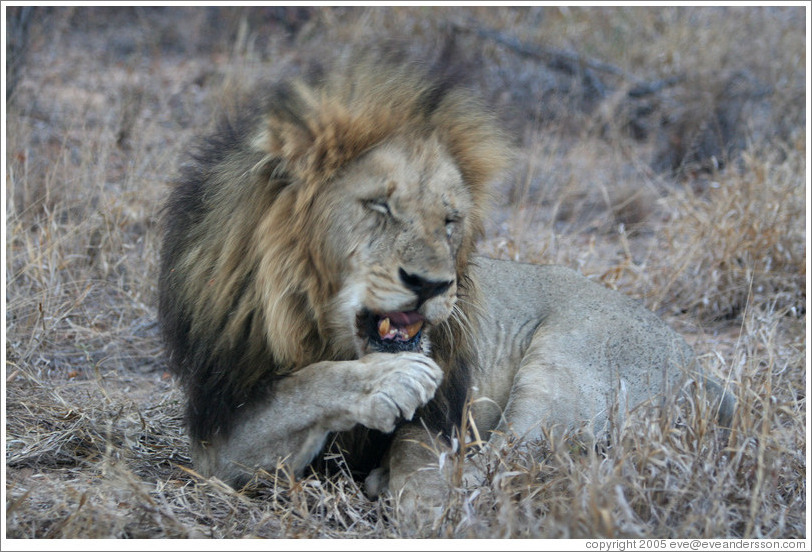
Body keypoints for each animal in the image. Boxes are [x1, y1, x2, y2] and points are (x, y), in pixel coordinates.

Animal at [158, 56, 733, 515]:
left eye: (450, 220)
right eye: (380, 206)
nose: (431, 285)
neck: (316, 325)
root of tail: (700, 365)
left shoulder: (442, 413)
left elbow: (420, 454)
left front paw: (424, 500)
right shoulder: (217, 439)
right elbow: (299, 391)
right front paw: (383, 382)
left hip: (564, 368)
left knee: (504, 460)